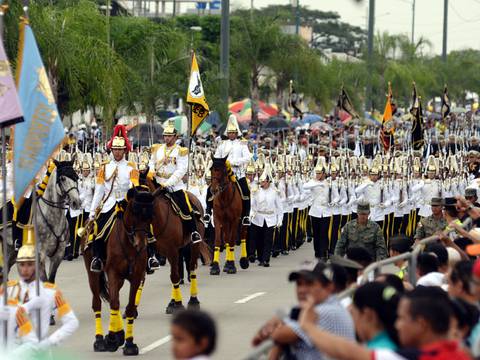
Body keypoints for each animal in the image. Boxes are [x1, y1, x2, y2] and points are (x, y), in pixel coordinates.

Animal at [80, 187, 152, 356]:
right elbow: (114, 303)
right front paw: (111, 340)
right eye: (134, 212)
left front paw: (129, 343)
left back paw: (118, 335)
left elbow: (129, 307)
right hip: (93, 274)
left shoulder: (136, 276)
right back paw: (100, 340)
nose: (141, 244)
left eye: (149, 215)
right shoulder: (113, 274)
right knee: (97, 303)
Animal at [149, 184, 211, 314]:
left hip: (193, 246)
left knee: (191, 269)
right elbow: (174, 276)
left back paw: (193, 300)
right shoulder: (167, 251)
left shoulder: (172, 250)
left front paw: (178, 304)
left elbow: (174, 276)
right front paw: (174, 303)